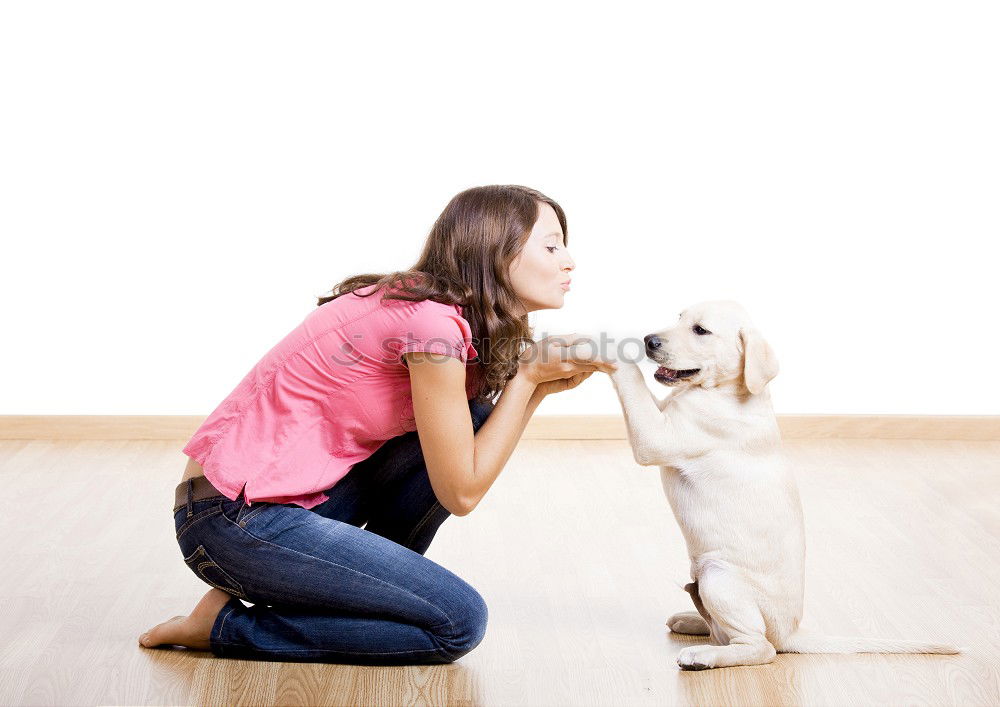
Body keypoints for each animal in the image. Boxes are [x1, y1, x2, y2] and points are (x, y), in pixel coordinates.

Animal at [600, 302, 960, 672]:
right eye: (679, 318)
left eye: (700, 330)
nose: (649, 340)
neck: (729, 390)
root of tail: (791, 632)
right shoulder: (663, 412)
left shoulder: (659, 436)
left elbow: (634, 385)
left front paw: (607, 353)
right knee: (729, 632)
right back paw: (692, 619)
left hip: (719, 576)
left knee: (760, 647)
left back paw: (703, 655)